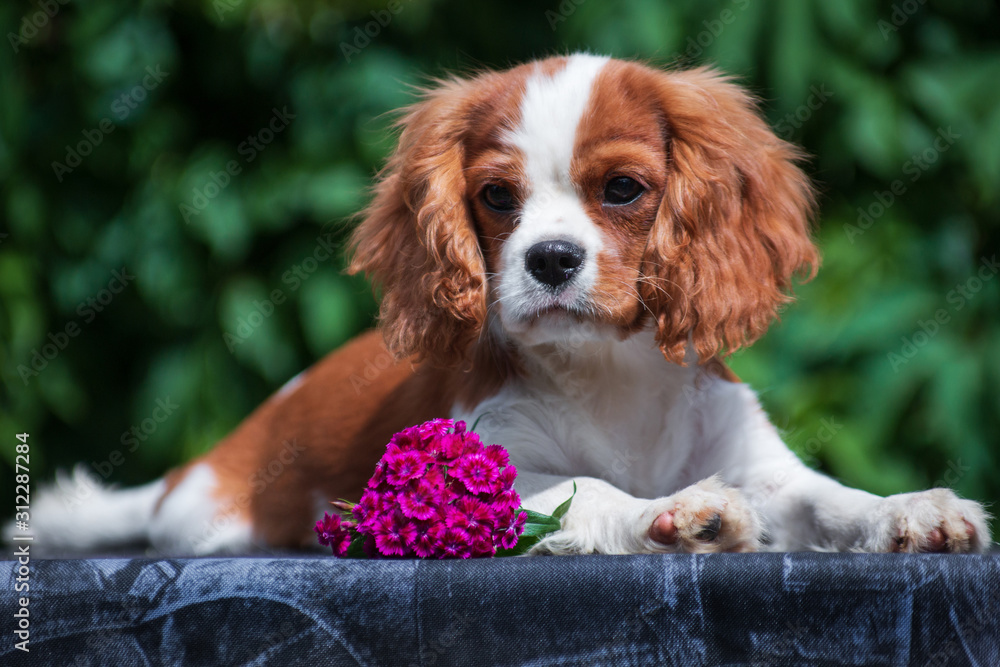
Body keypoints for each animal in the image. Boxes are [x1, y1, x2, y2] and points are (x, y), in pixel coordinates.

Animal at [27, 54, 988, 556]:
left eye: (624, 188)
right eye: (496, 198)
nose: (550, 258)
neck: (611, 370)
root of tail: (202, 464)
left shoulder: (761, 464)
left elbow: (829, 500)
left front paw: (911, 510)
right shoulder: (486, 477)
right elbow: (588, 490)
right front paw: (680, 514)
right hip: (218, 525)